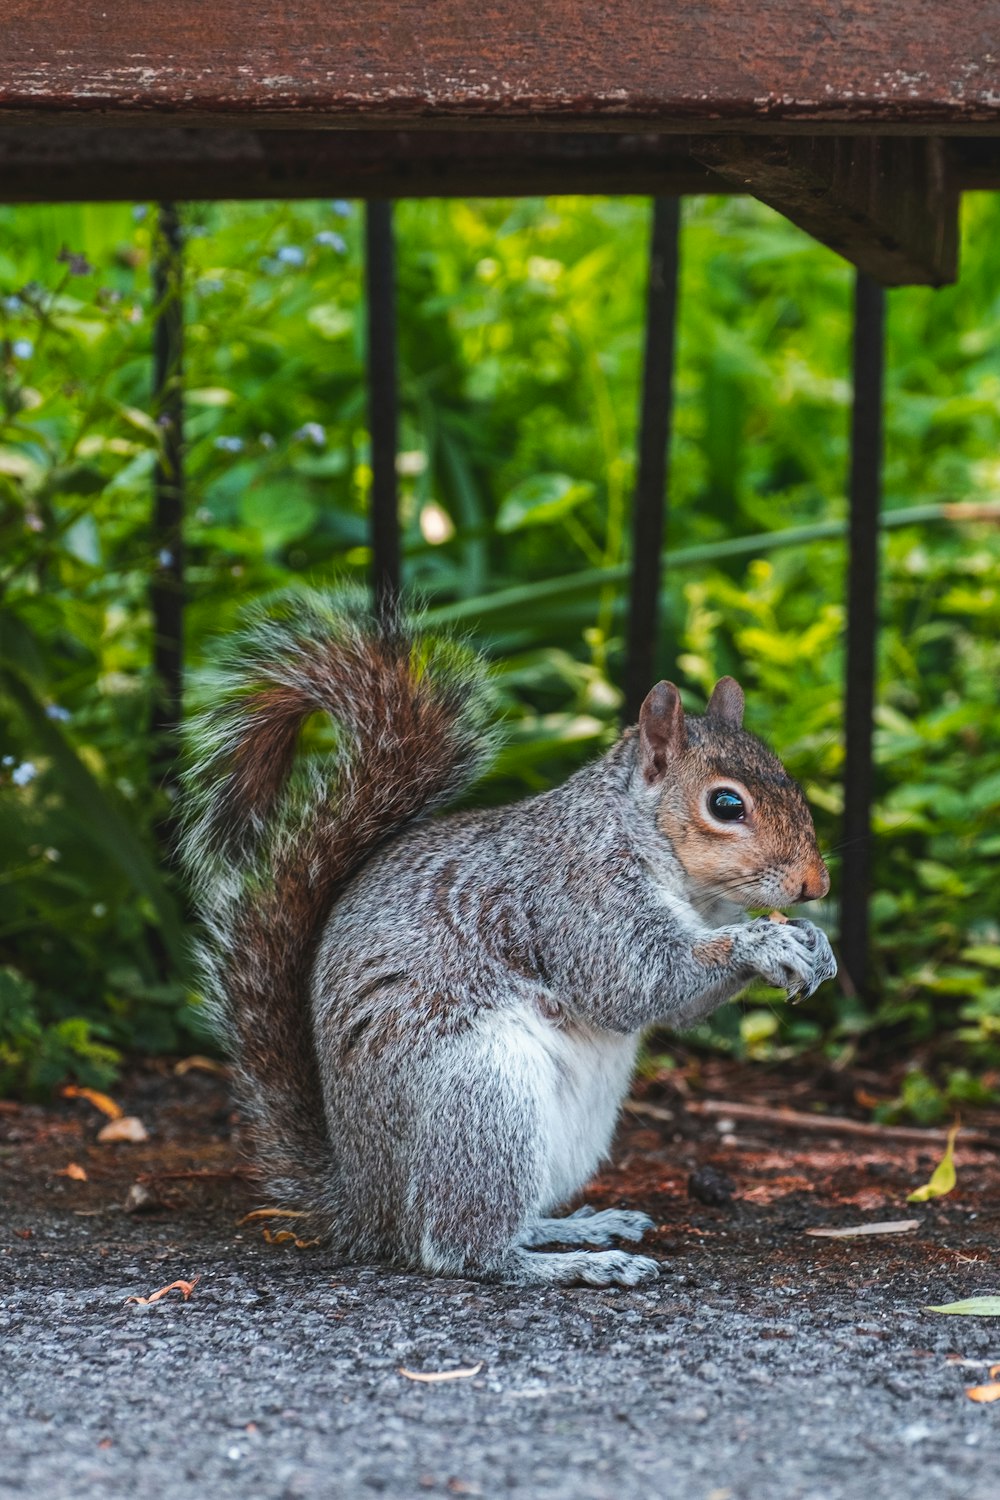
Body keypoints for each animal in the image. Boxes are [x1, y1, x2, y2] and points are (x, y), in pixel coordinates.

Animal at [179, 591, 839, 1284]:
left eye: (788, 777)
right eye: (726, 805)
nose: (815, 884)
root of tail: (363, 1204)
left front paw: (812, 943)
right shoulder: (577, 894)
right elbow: (635, 983)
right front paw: (764, 945)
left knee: (512, 1222)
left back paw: (578, 1228)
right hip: (483, 1100)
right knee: (463, 1246)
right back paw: (576, 1266)